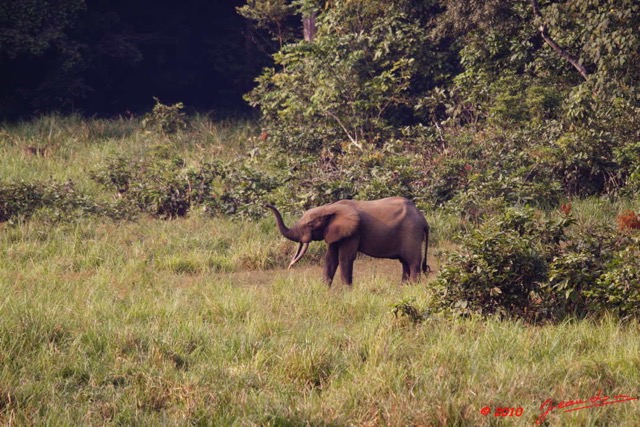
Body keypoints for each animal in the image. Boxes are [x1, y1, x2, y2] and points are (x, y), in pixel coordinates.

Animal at [264, 197, 430, 288]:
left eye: (310, 225)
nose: (265, 205)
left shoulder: (353, 232)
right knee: (404, 262)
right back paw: (404, 287)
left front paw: (347, 292)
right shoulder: (334, 232)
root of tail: (423, 219)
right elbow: (330, 259)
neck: (329, 207)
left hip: (412, 233)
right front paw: (323, 289)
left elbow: (345, 258)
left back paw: (412, 288)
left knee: (413, 262)